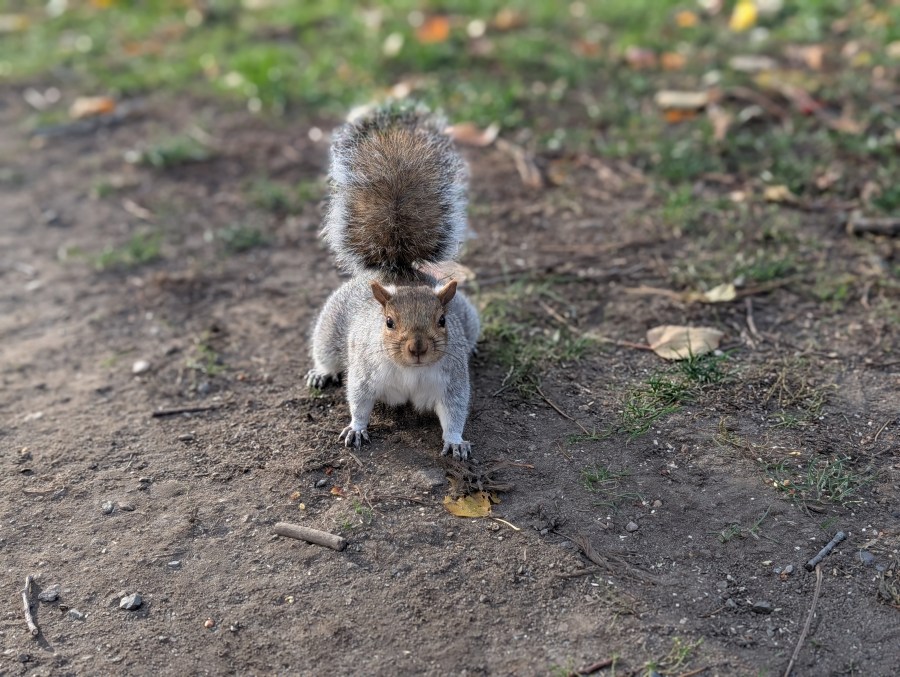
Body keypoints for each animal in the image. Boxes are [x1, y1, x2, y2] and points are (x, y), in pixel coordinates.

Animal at [306, 103, 480, 460]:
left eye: (443, 321)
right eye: (388, 322)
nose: (418, 347)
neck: (410, 371)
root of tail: (397, 271)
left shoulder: (452, 381)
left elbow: (455, 410)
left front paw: (456, 441)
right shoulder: (364, 371)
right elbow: (359, 400)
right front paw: (356, 428)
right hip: (329, 329)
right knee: (326, 354)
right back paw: (322, 372)